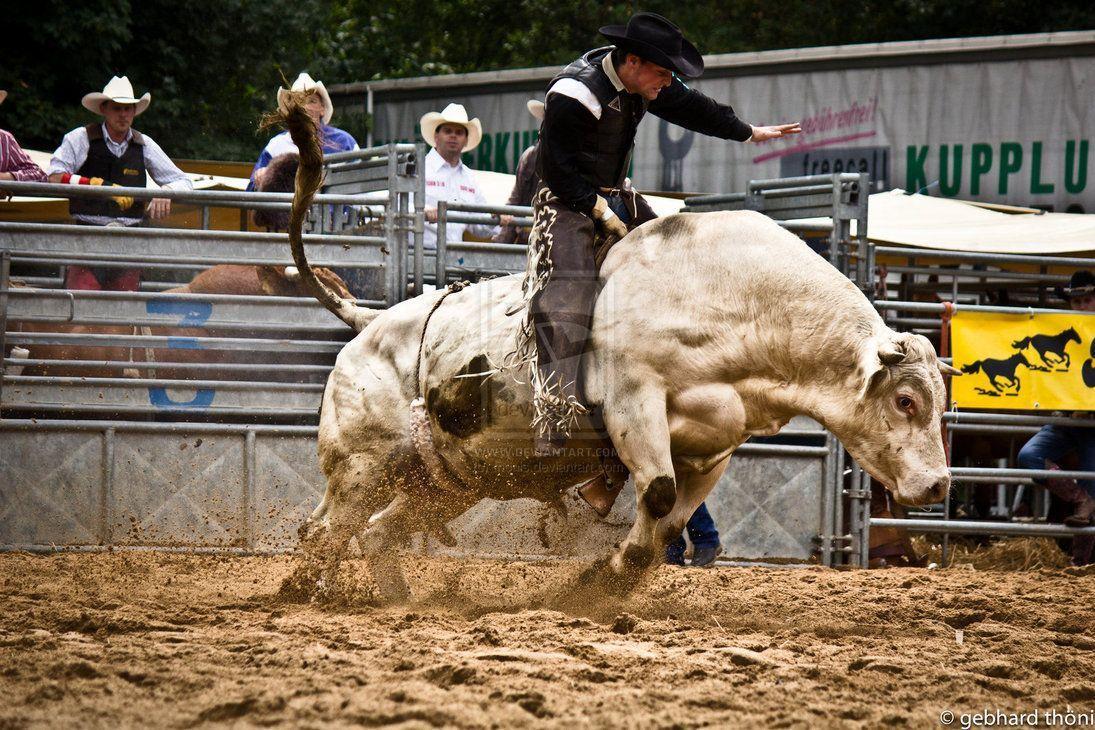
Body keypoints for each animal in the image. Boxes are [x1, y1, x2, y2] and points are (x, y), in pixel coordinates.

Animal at [271, 99, 961, 603]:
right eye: (905, 400)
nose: (938, 485)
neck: (733, 299)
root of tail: (367, 323)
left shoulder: (715, 447)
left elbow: (671, 521)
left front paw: (602, 581)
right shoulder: (634, 404)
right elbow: (654, 493)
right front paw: (597, 566)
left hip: (445, 482)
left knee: (374, 536)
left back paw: (394, 600)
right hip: (364, 464)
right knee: (324, 530)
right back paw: (301, 594)